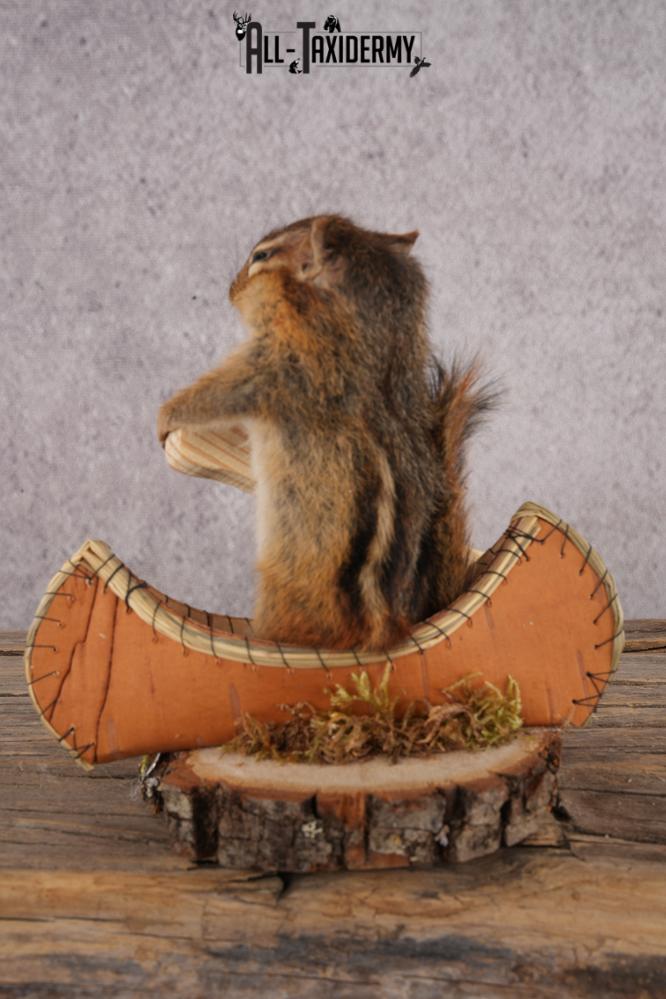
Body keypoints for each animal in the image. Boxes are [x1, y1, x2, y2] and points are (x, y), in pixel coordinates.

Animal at [157, 214, 494, 651]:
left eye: (261, 257)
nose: (231, 289)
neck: (377, 341)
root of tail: (388, 632)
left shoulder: (277, 368)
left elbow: (221, 391)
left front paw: (166, 417)